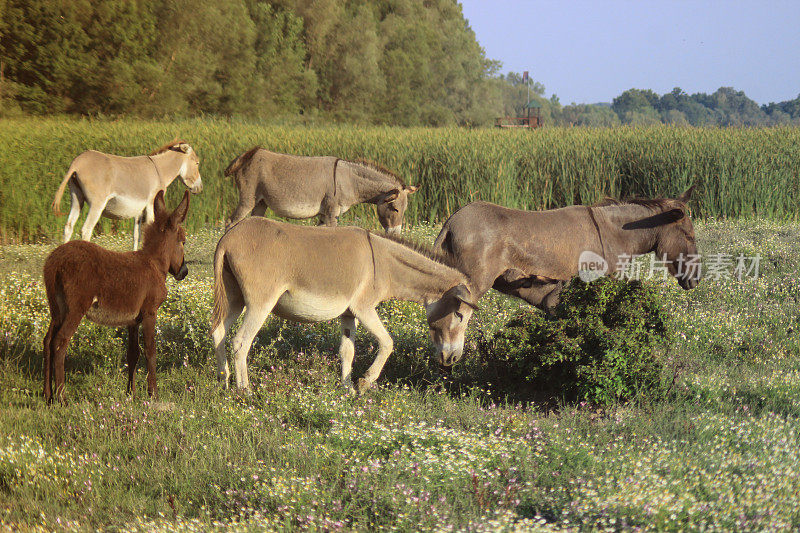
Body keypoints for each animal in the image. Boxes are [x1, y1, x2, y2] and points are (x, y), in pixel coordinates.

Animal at [43, 189, 192, 402]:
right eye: (183, 241)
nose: (184, 272)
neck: (155, 263)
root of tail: (55, 261)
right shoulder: (150, 312)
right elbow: (151, 350)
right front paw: (153, 393)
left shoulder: (133, 320)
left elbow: (133, 353)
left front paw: (131, 393)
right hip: (75, 309)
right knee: (60, 342)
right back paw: (61, 397)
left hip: (57, 309)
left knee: (48, 341)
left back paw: (47, 395)